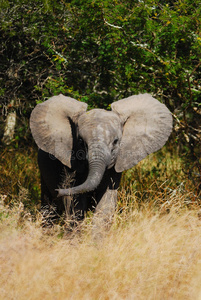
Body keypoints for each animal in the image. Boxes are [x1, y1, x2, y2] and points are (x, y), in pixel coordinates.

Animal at [30, 94, 173, 234]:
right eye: (80, 141)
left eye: (116, 141)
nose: (59, 191)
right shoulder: (68, 166)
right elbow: (75, 207)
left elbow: (105, 205)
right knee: (49, 209)